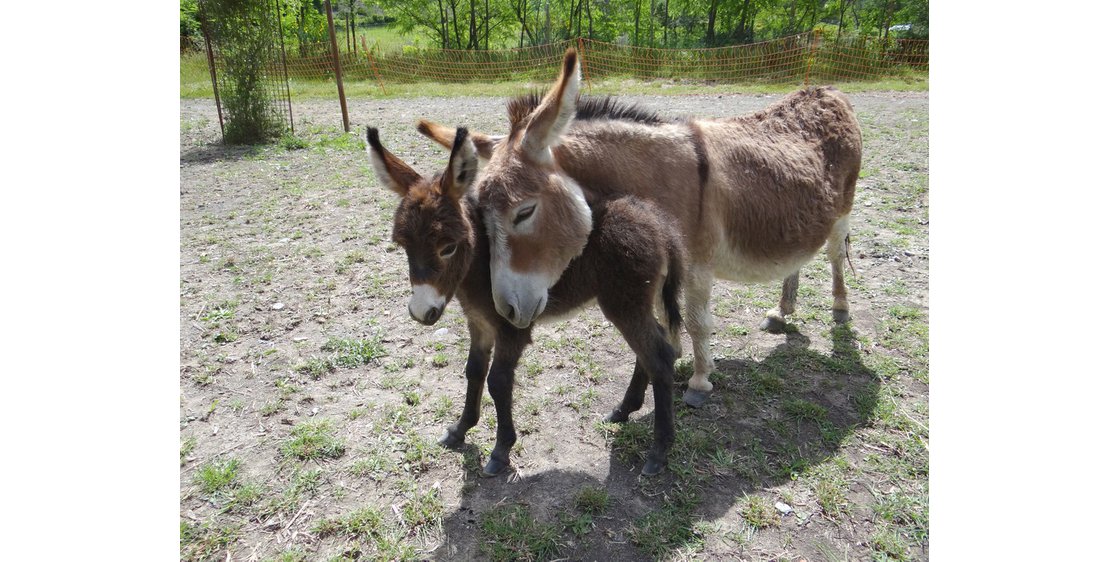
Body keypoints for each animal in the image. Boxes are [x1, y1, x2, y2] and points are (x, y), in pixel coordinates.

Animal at [366, 126, 683, 473]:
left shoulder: (511, 328)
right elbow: (474, 371)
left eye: (448, 248)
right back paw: (624, 410)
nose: (421, 312)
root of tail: (660, 226)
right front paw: (460, 429)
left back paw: (659, 450)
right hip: (633, 303)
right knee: (651, 350)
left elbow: (498, 381)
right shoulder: (479, 323)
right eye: (403, 246)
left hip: (624, 305)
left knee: (660, 357)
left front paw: (500, 450)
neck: (479, 265)